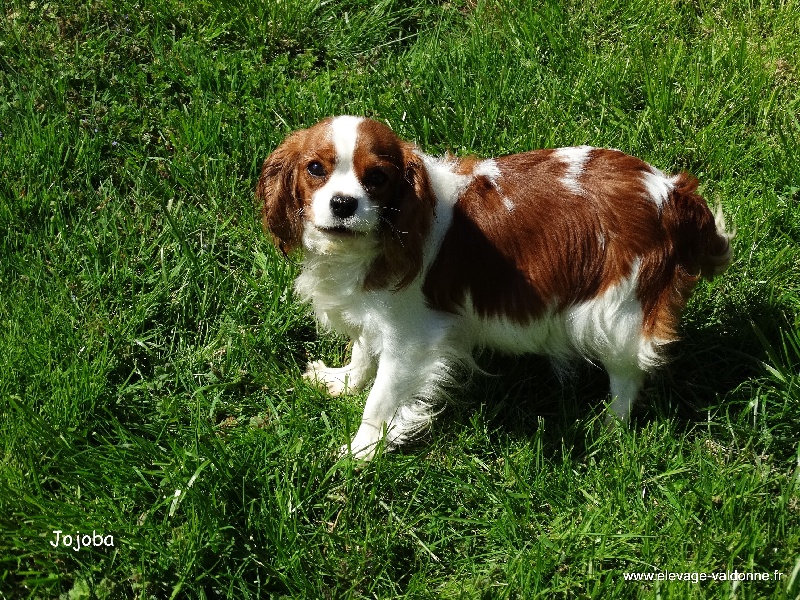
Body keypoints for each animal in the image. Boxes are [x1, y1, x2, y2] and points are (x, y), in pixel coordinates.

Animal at [260, 115, 736, 458]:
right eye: (315, 169)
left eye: (376, 178)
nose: (343, 203)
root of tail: (672, 193)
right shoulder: (373, 314)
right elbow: (362, 353)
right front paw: (342, 382)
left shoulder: (411, 338)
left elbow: (380, 398)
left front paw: (360, 452)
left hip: (614, 308)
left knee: (627, 373)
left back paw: (611, 427)